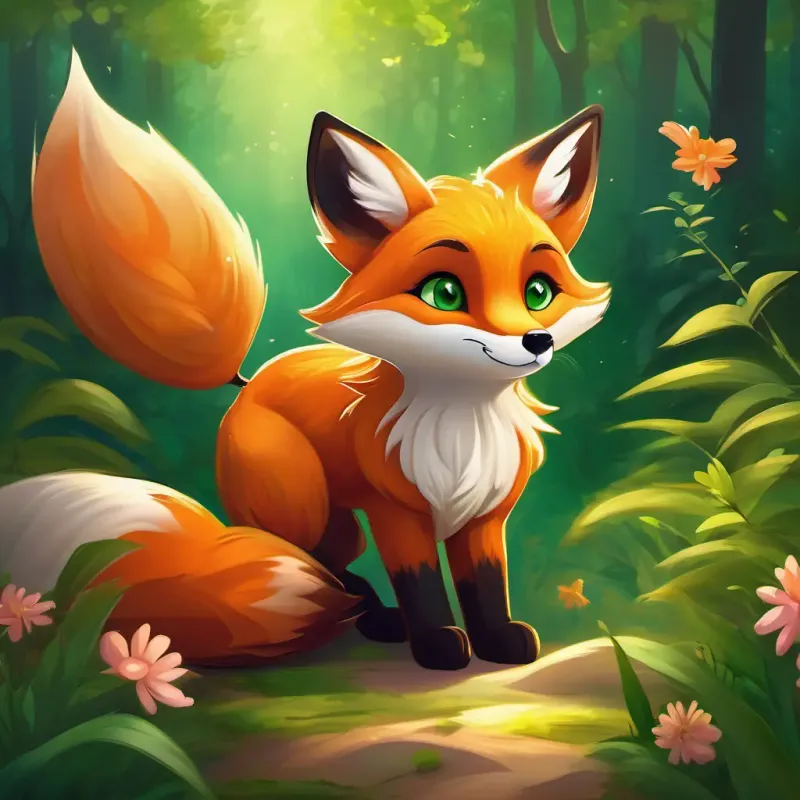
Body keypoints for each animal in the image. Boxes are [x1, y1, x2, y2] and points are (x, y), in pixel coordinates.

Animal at [0, 51, 610, 671]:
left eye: (538, 291)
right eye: (444, 293)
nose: (536, 341)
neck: (461, 430)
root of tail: (248, 380)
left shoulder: (484, 517)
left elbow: (485, 584)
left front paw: (498, 639)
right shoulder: (396, 516)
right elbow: (422, 586)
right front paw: (438, 642)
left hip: (336, 519)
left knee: (333, 564)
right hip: (305, 502)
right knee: (318, 563)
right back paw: (369, 616)